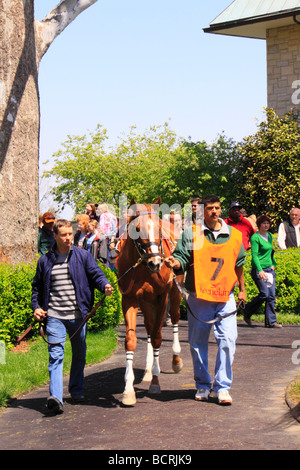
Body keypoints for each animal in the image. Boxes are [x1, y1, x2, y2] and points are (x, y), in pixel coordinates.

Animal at [116, 196, 183, 406]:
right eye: (137, 229)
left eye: (158, 228)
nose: (156, 262)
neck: (143, 268)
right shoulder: (129, 299)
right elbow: (131, 340)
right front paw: (128, 391)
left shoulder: (162, 297)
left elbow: (157, 338)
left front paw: (155, 382)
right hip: (146, 302)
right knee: (149, 326)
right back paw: (146, 369)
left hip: (175, 292)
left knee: (174, 318)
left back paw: (175, 360)